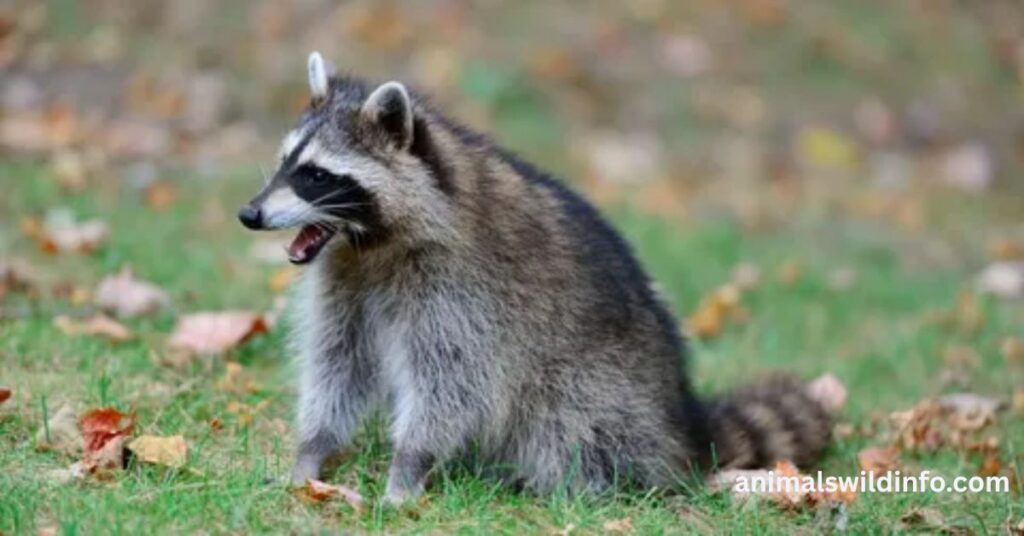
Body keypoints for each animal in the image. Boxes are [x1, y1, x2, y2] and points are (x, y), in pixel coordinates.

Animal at [238, 52, 833, 503]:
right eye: (285, 163)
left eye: (316, 176)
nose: (249, 214)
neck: (371, 244)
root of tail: (679, 426)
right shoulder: (348, 279)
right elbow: (340, 362)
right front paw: (312, 449)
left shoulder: (460, 290)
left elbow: (452, 384)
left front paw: (408, 467)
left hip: (604, 385)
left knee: (570, 420)